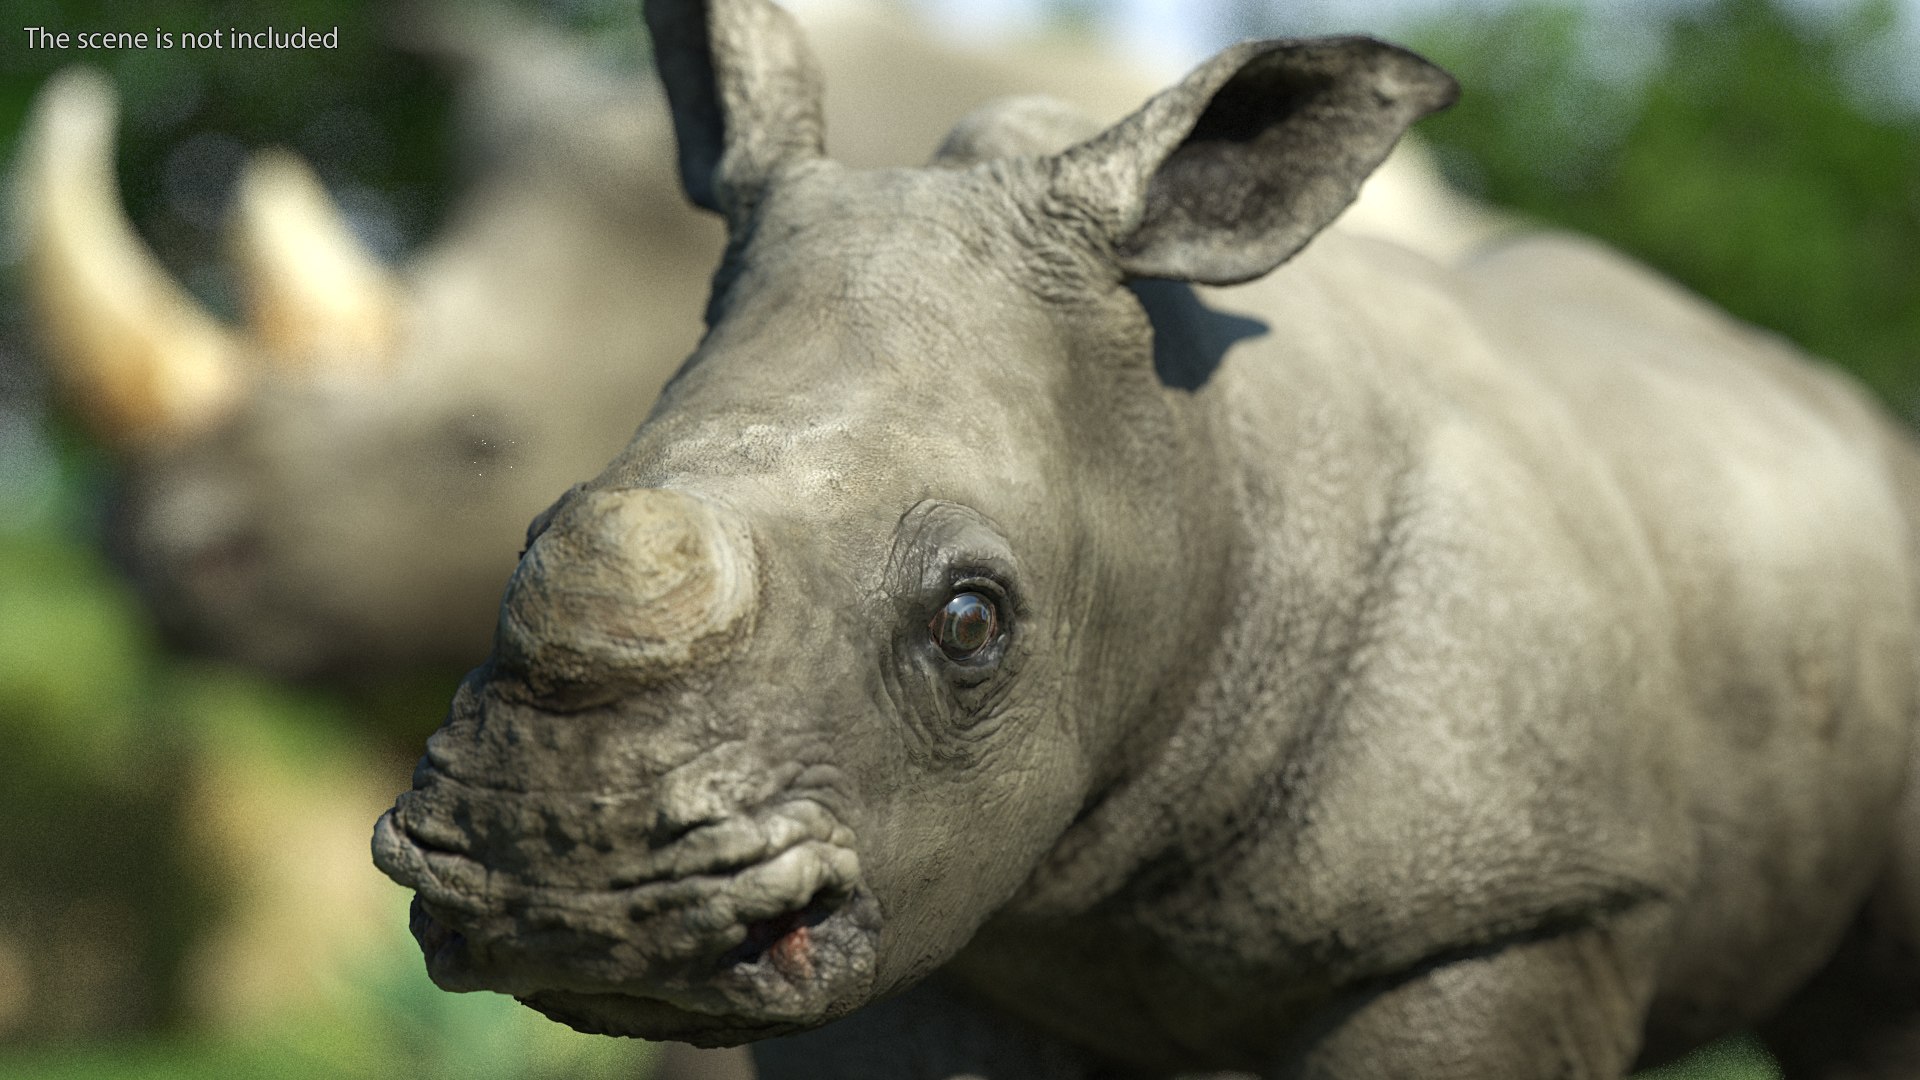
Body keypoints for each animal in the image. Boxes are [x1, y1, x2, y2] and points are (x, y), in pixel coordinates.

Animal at [371, 0, 1920, 1076]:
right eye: (532, 522)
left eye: (972, 620)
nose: (563, 871)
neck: (1200, 465)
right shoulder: (937, 928)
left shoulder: (1511, 907)